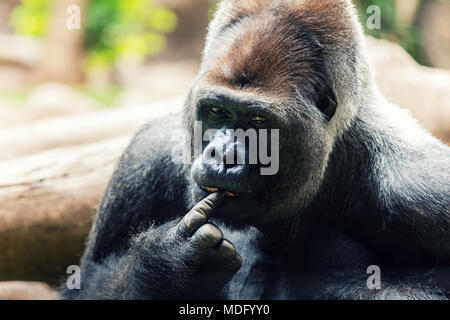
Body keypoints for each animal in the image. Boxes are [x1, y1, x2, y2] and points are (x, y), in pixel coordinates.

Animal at [62, 0, 450, 300]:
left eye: (259, 121)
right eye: (217, 110)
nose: (223, 156)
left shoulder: (423, 190)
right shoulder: (146, 154)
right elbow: (83, 286)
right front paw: (167, 266)